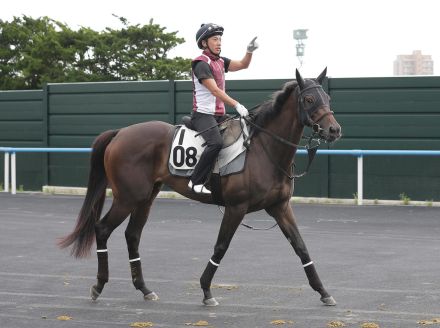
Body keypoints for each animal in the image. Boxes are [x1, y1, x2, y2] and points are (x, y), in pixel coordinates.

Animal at [57, 67, 340, 308]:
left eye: (326, 97)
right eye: (309, 99)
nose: (334, 129)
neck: (263, 149)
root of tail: (120, 133)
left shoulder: (280, 207)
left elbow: (301, 247)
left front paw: (324, 292)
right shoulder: (236, 208)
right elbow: (221, 247)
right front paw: (206, 290)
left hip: (145, 198)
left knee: (132, 235)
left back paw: (144, 289)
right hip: (127, 198)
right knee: (102, 229)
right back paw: (99, 285)